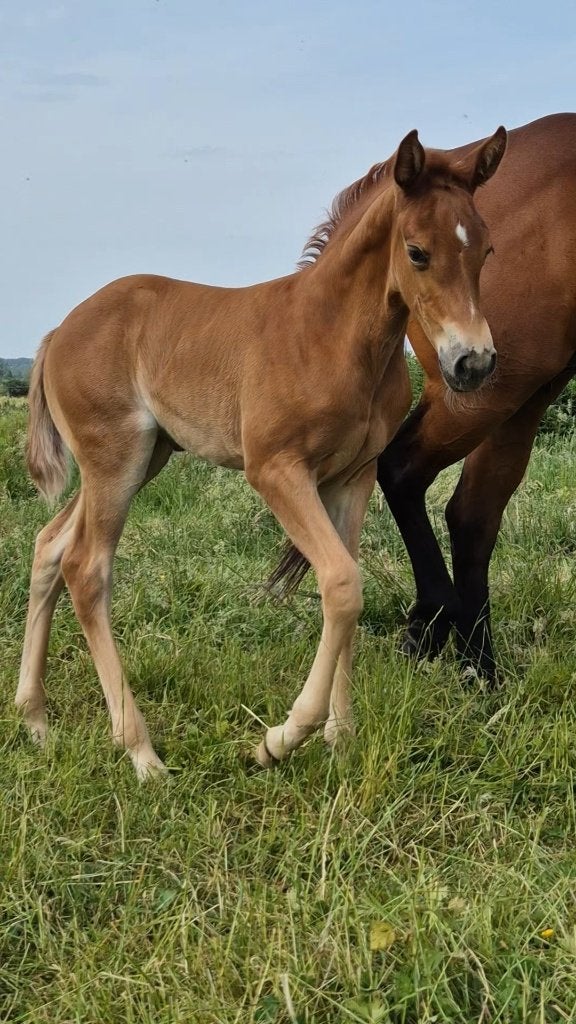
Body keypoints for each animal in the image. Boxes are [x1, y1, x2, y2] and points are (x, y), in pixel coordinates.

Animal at [16, 126, 506, 778]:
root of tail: (58, 331)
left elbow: (344, 590)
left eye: (486, 251)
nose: (473, 363)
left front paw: (341, 738)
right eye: (418, 251)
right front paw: (280, 739)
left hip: (144, 459)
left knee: (49, 545)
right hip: (114, 459)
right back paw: (142, 753)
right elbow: (342, 584)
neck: (333, 336)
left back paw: (35, 720)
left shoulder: (353, 477)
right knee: (86, 568)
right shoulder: (276, 470)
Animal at [376, 113, 576, 682]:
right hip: (495, 390)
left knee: (473, 513)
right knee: (403, 469)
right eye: (418, 253)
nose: (475, 360)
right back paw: (437, 625)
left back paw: (477, 669)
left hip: (519, 389)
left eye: (487, 252)